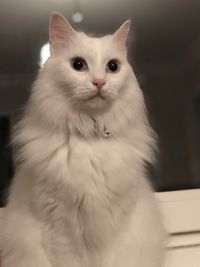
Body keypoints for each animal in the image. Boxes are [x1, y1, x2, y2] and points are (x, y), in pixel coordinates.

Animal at [0, 12, 166, 267]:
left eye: (113, 67)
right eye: (78, 65)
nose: (99, 82)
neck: (91, 137)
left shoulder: (114, 227)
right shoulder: (60, 229)